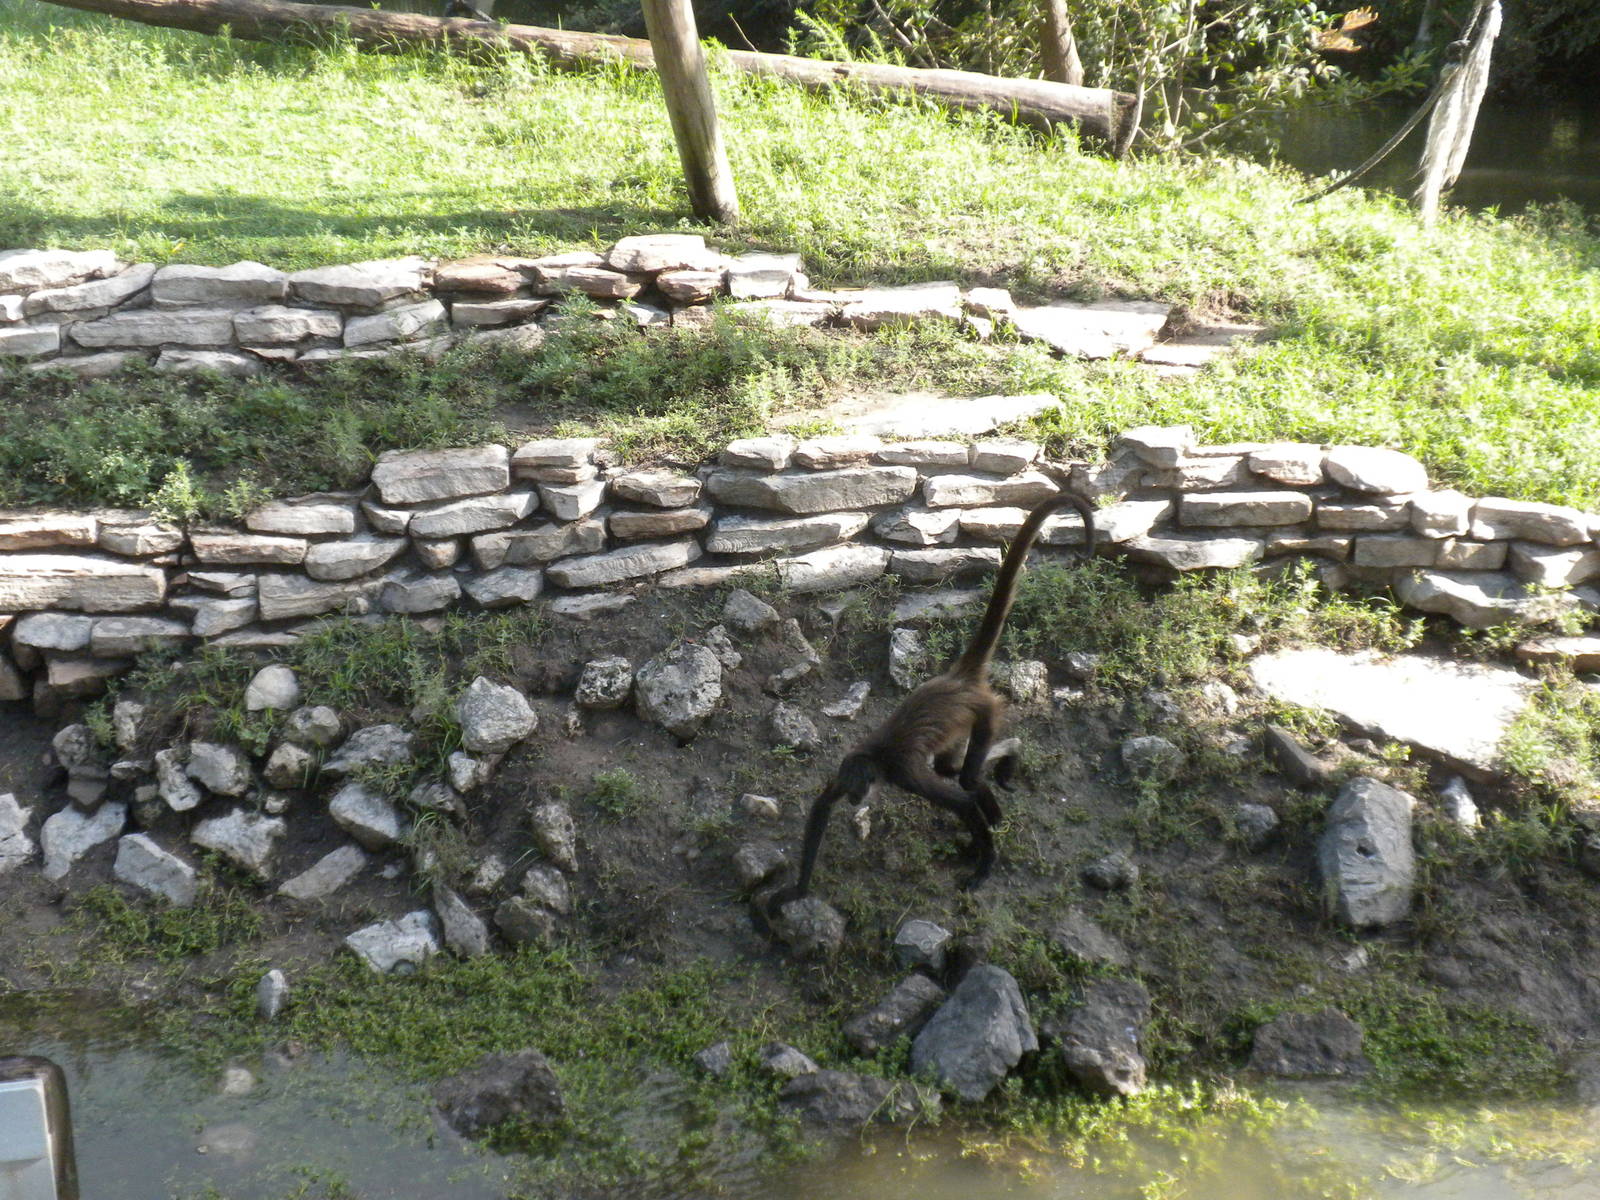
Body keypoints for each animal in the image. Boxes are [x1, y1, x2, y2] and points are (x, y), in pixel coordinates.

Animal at [765, 478, 1097, 913]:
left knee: (967, 779)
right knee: (955, 770)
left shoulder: (901, 772)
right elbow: (821, 806)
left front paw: (984, 868)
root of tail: (958, 679)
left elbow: (960, 804)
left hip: (986, 711)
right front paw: (797, 891)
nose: (854, 801)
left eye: (859, 790)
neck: (877, 760)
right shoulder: (848, 763)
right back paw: (1009, 762)